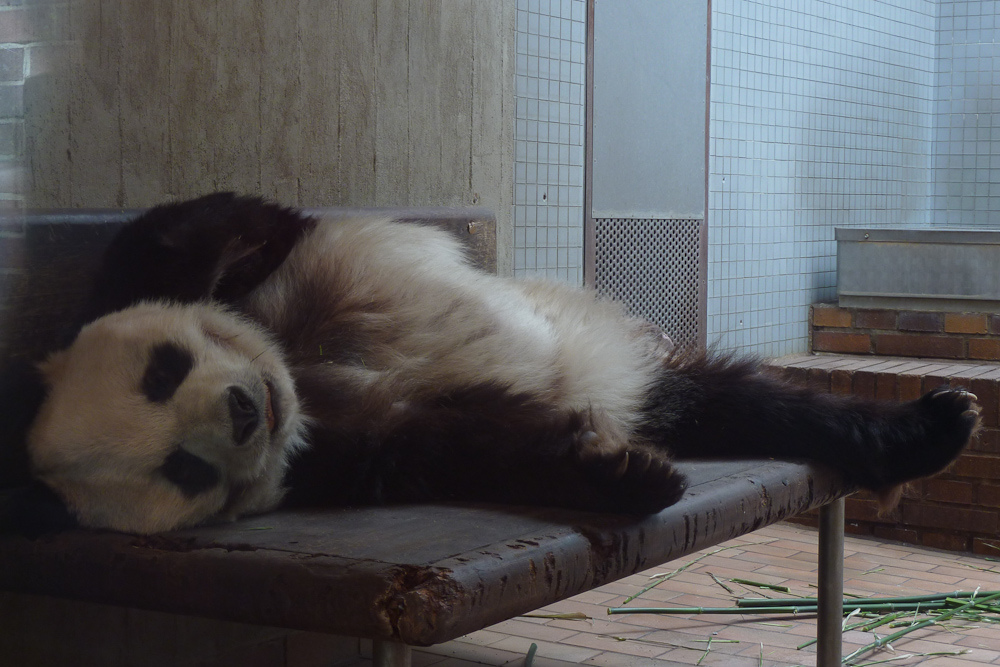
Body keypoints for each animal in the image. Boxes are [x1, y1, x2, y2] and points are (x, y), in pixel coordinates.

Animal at [0, 193, 984, 532]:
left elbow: (178, 238)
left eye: (164, 370)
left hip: (636, 364)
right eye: (182, 468)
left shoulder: (151, 277)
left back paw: (937, 420)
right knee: (745, 405)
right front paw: (619, 475)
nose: (246, 411)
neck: (302, 384)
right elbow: (460, 444)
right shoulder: (341, 455)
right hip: (653, 392)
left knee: (772, 400)